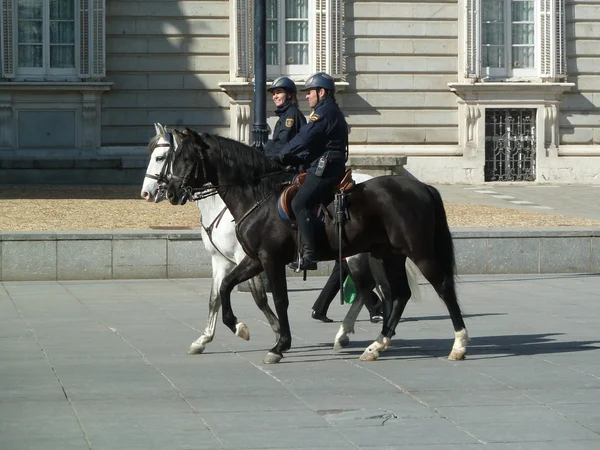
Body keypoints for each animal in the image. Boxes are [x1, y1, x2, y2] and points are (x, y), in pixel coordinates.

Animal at [168, 128, 468, 364]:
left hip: (418, 252)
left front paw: (280, 344)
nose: (170, 191)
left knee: (441, 287)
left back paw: (459, 344)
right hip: (389, 254)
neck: (258, 197)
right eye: (171, 158)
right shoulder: (253, 259)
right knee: (398, 294)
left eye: (186, 159)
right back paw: (376, 344)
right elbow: (225, 288)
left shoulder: (270, 259)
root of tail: (422, 187)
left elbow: (279, 299)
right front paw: (238, 327)